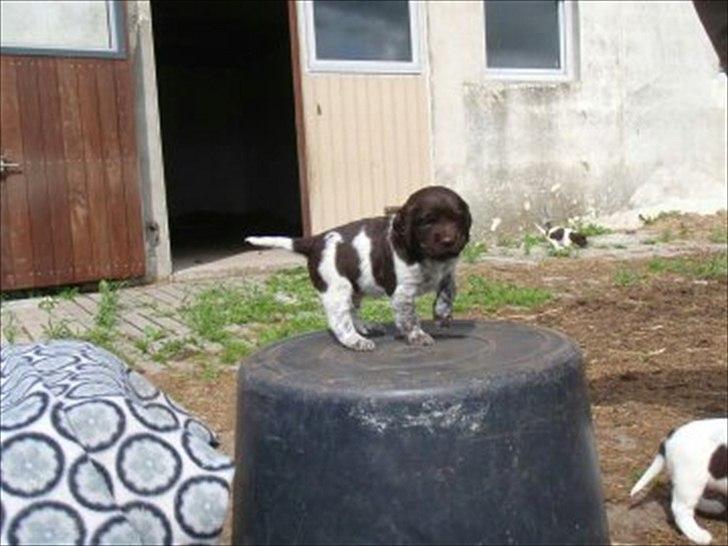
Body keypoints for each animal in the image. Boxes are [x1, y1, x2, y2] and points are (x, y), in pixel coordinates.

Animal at [245, 186, 472, 348]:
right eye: (427, 222)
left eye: (457, 219)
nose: (449, 241)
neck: (428, 257)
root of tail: (316, 240)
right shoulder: (402, 291)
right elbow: (409, 318)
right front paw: (417, 336)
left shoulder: (447, 274)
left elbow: (448, 291)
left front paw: (442, 315)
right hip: (337, 289)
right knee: (339, 321)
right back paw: (355, 340)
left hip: (356, 287)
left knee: (353, 310)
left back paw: (365, 328)